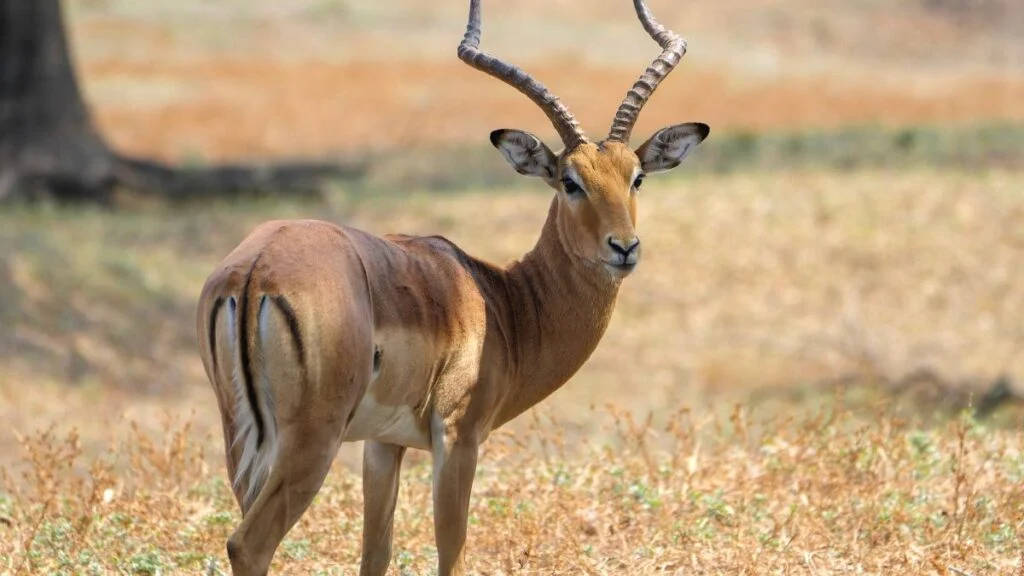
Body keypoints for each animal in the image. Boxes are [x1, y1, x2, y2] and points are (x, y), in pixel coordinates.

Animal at [196, 0, 708, 574]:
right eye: (569, 181)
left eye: (636, 177)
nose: (624, 247)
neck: (500, 302)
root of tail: (256, 266)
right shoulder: (458, 437)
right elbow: (452, 554)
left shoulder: (382, 445)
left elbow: (376, 554)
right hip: (311, 441)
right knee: (248, 542)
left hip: (243, 439)